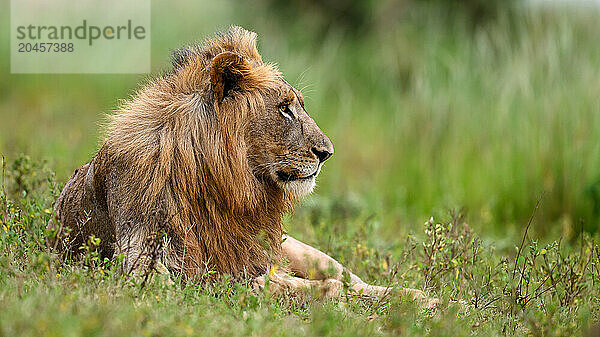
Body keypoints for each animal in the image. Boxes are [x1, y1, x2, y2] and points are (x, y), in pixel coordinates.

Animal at [49, 25, 436, 308]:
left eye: (300, 105)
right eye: (284, 108)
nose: (327, 152)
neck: (219, 181)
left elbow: (286, 281)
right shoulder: (146, 266)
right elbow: (258, 285)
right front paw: (321, 296)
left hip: (300, 249)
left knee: (353, 279)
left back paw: (425, 299)